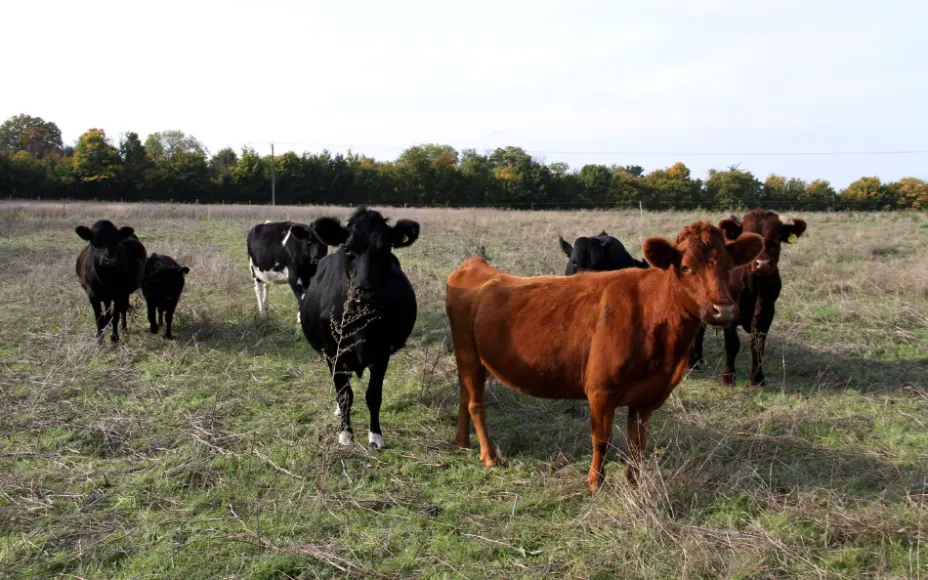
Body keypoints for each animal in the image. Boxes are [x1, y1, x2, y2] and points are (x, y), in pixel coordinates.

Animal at [294, 208, 419, 449]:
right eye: (348, 249)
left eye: (385, 249)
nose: (365, 293)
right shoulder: (333, 354)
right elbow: (345, 396)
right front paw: (345, 434)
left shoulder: (382, 354)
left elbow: (373, 395)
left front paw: (375, 436)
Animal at [446, 221, 764, 491]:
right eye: (685, 267)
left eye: (729, 266)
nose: (723, 309)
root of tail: (475, 266)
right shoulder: (600, 390)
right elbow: (601, 439)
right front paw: (595, 483)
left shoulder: (648, 396)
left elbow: (637, 444)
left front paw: (634, 483)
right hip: (468, 353)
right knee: (475, 404)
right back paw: (489, 456)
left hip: (473, 360)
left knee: (463, 397)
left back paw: (462, 443)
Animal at [689, 209, 807, 386]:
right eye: (747, 238)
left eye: (777, 237)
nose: (762, 264)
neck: (753, 285)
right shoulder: (729, 312)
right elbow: (732, 343)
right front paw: (728, 376)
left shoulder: (766, 312)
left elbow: (757, 345)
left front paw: (758, 378)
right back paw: (693, 363)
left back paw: (699, 360)